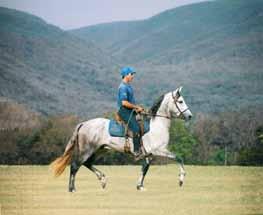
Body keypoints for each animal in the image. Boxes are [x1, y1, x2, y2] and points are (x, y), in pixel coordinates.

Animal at [50, 86, 193, 192]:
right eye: (180, 101)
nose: (190, 116)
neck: (156, 125)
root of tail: (84, 124)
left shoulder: (149, 154)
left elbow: (145, 168)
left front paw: (140, 186)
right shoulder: (159, 150)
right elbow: (179, 158)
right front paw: (181, 179)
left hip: (100, 150)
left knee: (87, 163)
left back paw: (103, 180)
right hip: (87, 150)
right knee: (75, 165)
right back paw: (72, 188)